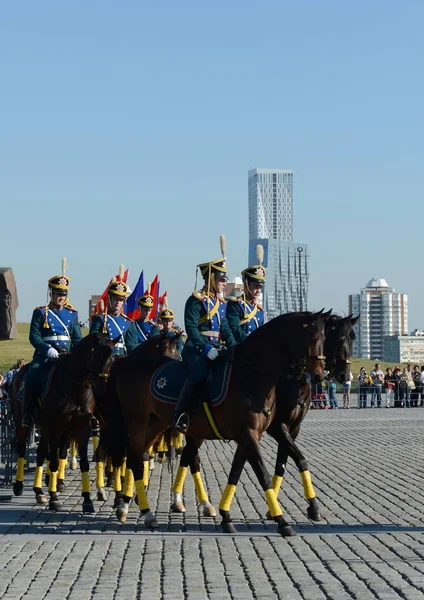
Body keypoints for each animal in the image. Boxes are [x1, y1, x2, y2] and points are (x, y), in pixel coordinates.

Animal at [11, 332, 117, 510]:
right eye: (96, 354)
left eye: (112, 358)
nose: (102, 388)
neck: (76, 388)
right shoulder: (56, 427)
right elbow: (54, 461)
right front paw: (54, 498)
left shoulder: (82, 427)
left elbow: (84, 462)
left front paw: (87, 500)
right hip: (23, 421)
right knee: (21, 448)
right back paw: (19, 486)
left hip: (45, 426)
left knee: (41, 451)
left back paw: (39, 492)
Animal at [104, 310, 330, 536]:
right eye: (312, 337)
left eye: (324, 339)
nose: (319, 376)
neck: (250, 375)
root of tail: (128, 363)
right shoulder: (250, 434)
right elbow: (263, 474)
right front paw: (282, 521)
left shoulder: (251, 436)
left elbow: (237, 473)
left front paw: (226, 517)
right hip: (138, 421)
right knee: (135, 456)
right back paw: (146, 512)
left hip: (156, 423)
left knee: (139, 454)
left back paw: (130, 507)